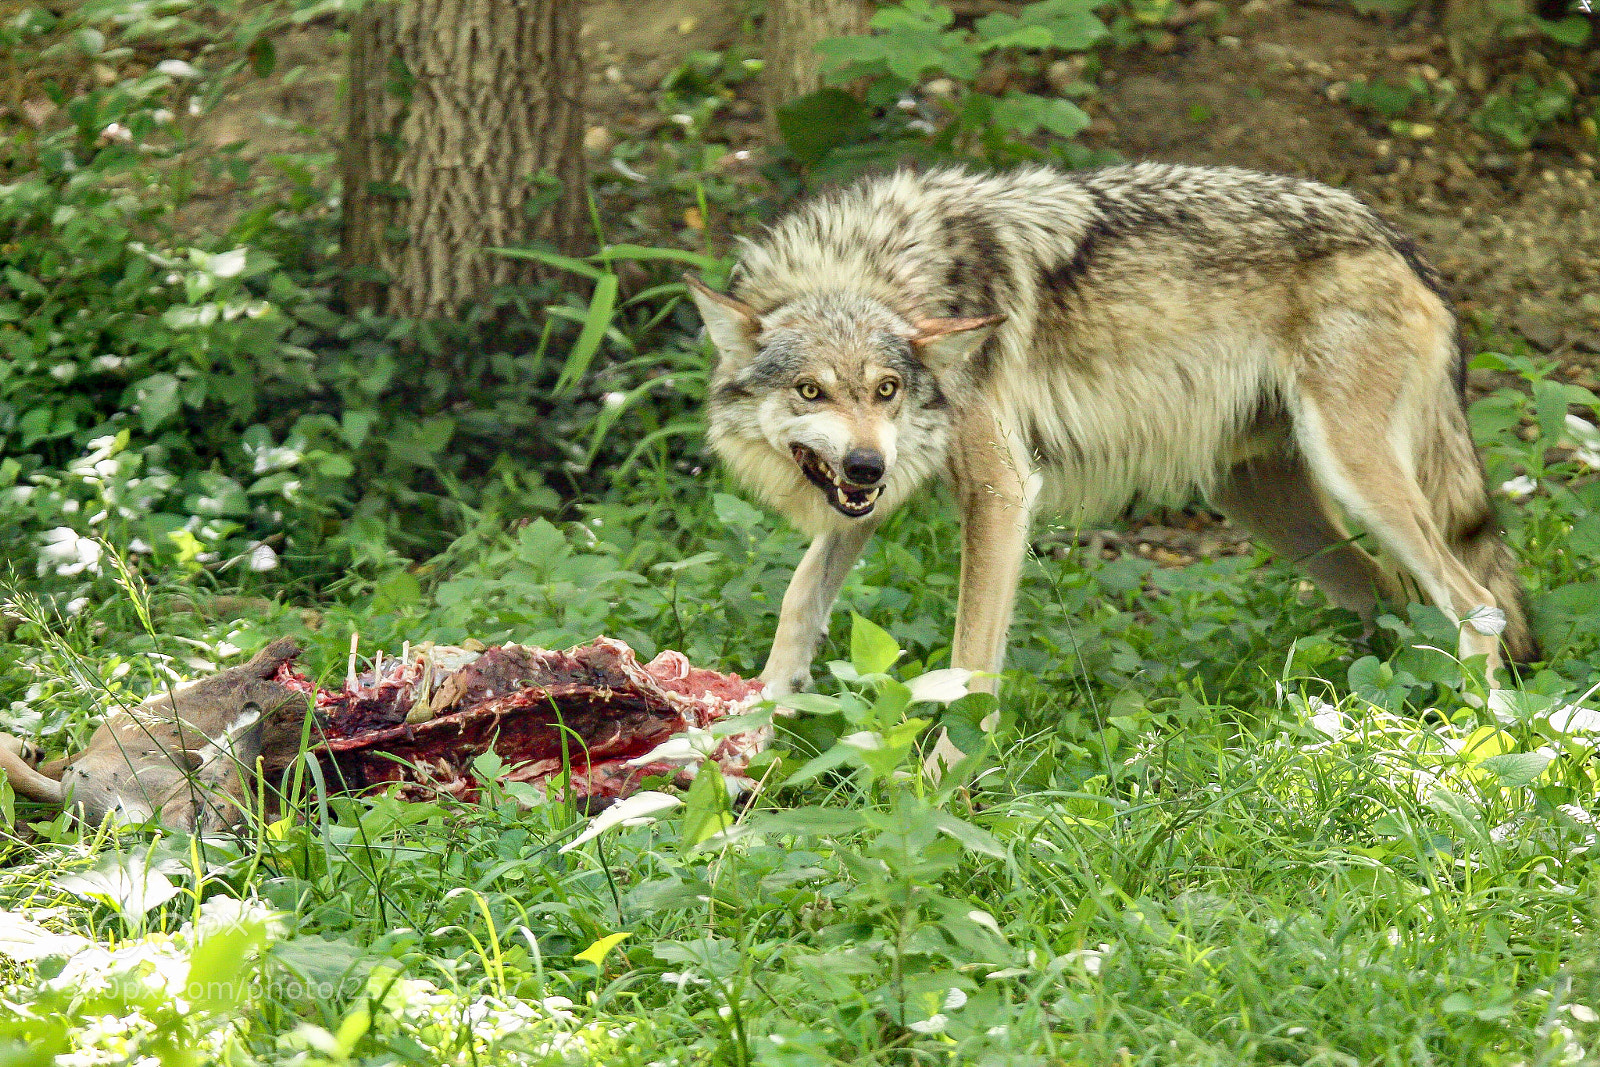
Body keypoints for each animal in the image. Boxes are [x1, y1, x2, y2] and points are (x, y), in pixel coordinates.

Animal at [686, 162, 1537, 764]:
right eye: (811, 389)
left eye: (886, 389)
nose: (864, 465)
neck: (882, 269)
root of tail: (1400, 241)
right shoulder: (875, 496)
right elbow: (798, 602)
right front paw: (742, 745)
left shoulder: (998, 492)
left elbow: (970, 668)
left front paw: (942, 787)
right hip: (1269, 505)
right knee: (1392, 596)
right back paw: (1371, 715)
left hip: (1351, 477)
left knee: (1471, 601)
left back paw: (1471, 736)